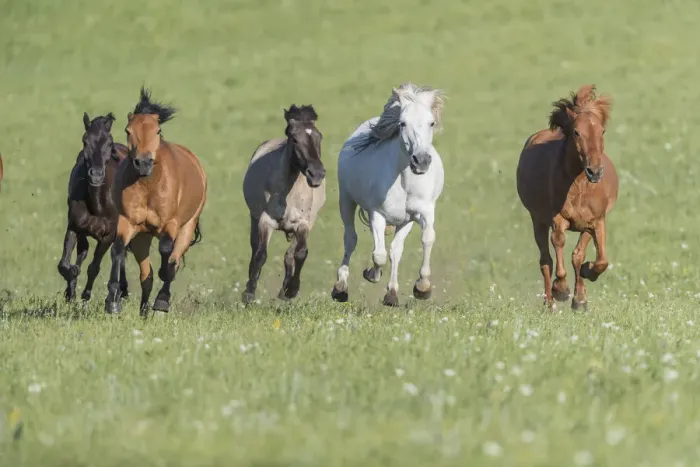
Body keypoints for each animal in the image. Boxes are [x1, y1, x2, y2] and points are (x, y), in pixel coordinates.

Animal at [58, 112, 129, 302]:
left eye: (109, 142)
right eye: (85, 141)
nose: (96, 175)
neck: (98, 204)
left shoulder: (108, 236)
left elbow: (94, 267)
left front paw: (86, 295)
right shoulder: (74, 227)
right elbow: (64, 264)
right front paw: (71, 289)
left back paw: (122, 290)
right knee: (83, 252)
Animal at [104, 87, 207, 315]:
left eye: (158, 131)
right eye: (128, 130)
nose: (143, 163)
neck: (148, 186)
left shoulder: (171, 223)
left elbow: (167, 254)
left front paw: (162, 299)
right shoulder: (127, 222)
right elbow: (117, 249)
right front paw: (112, 301)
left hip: (187, 227)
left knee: (173, 259)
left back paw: (160, 300)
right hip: (142, 239)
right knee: (147, 276)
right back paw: (143, 312)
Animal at [242, 105, 326, 305]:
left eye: (319, 137)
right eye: (294, 139)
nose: (316, 174)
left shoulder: (303, 224)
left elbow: (300, 254)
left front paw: (291, 290)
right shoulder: (265, 221)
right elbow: (261, 255)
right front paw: (249, 293)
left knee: (289, 255)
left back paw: (284, 291)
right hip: (254, 218)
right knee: (255, 249)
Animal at [332, 83, 446, 307]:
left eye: (431, 123)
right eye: (402, 123)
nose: (421, 161)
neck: (404, 181)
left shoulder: (423, 212)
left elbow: (427, 238)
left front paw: (422, 287)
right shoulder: (377, 214)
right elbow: (379, 255)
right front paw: (371, 274)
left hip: (405, 221)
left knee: (395, 250)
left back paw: (392, 294)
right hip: (346, 201)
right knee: (351, 239)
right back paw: (341, 288)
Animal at [517, 85, 618, 311]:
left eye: (602, 131)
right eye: (577, 132)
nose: (595, 172)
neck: (579, 186)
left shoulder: (596, 221)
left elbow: (597, 260)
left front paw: (583, 289)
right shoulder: (557, 219)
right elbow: (559, 244)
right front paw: (561, 289)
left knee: (574, 256)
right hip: (538, 220)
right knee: (546, 259)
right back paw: (549, 303)